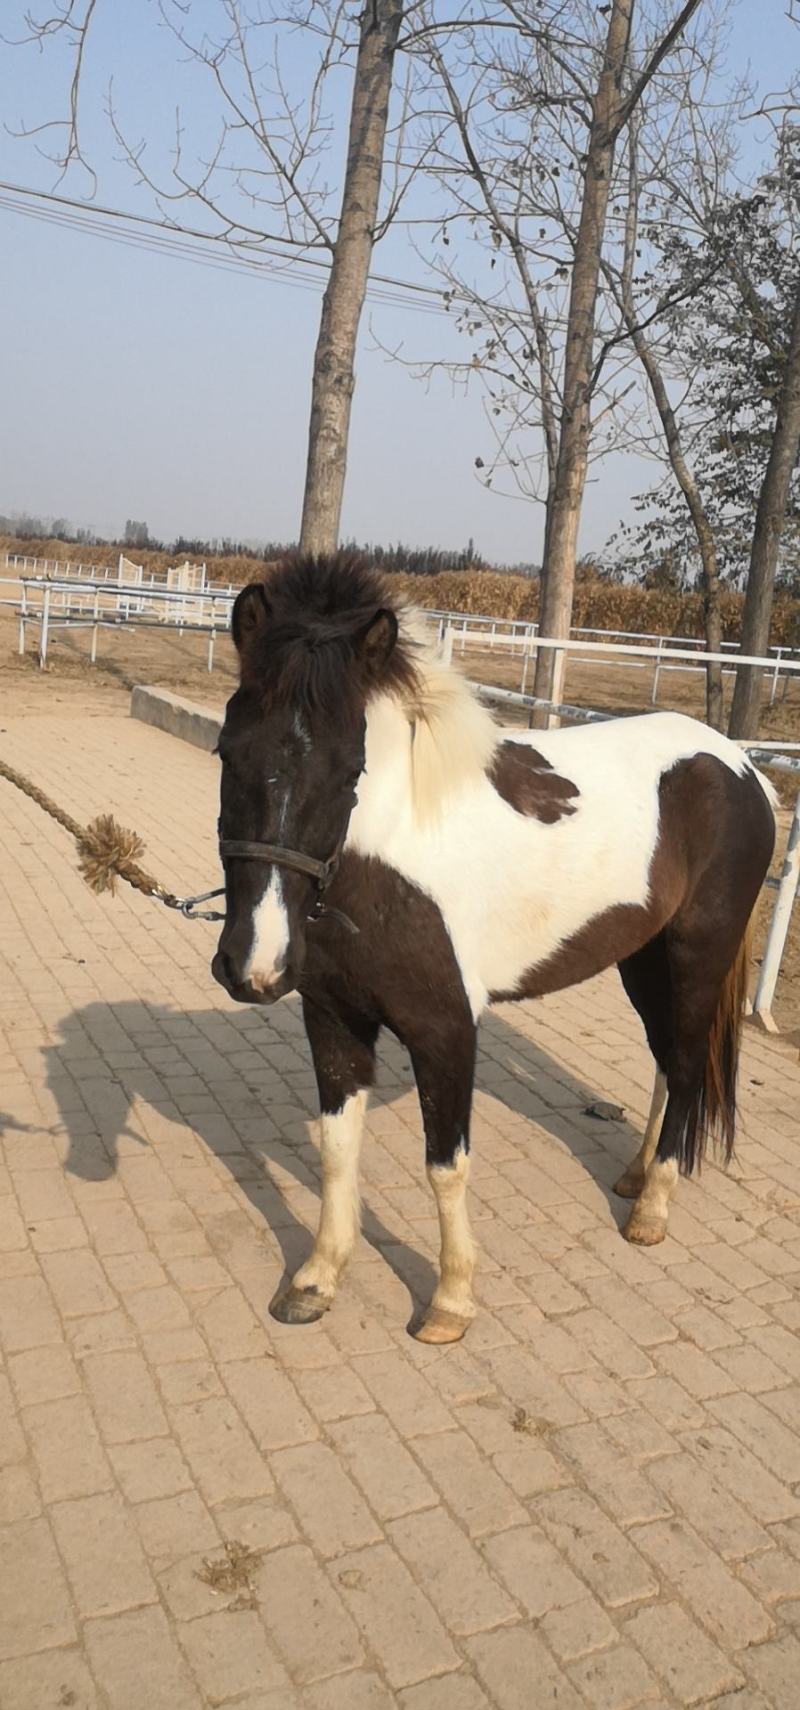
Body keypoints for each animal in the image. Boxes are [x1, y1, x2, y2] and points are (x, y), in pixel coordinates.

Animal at [211, 551, 776, 1345]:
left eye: (349, 768)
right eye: (228, 750)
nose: (253, 966)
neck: (385, 861)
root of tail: (740, 766)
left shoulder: (447, 1029)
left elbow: (445, 1165)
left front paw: (450, 1302)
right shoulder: (332, 1018)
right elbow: (336, 1150)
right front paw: (317, 1280)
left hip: (697, 955)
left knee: (691, 1068)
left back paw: (651, 1209)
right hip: (643, 960)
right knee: (670, 1059)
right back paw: (634, 1177)